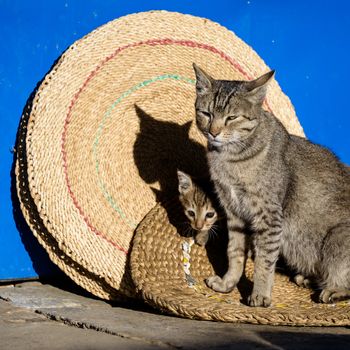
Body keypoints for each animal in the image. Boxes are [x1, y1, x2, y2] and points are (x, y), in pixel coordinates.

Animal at [193, 63, 350, 306]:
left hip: (336, 239)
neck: (229, 159)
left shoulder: (268, 216)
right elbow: (234, 253)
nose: (214, 132)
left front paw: (260, 294)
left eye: (231, 117)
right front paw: (228, 283)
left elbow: (264, 261)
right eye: (206, 113)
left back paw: (332, 290)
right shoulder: (234, 213)